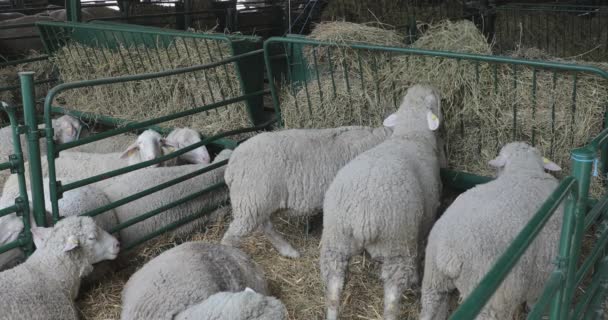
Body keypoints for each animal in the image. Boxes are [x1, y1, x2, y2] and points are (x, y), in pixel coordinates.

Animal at [218, 124, 394, 258]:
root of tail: (231, 166)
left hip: (258, 202)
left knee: (266, 226)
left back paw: (289, 251)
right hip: (251, 200)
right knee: (233, 235)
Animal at [320, 85, 444, 320]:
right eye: (433, 101)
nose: (430, 87)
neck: (410, 135)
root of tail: (362, 214)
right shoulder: (425, 220)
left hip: (335, 238)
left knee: (332, 285)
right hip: (397, 242)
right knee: (392, 296)